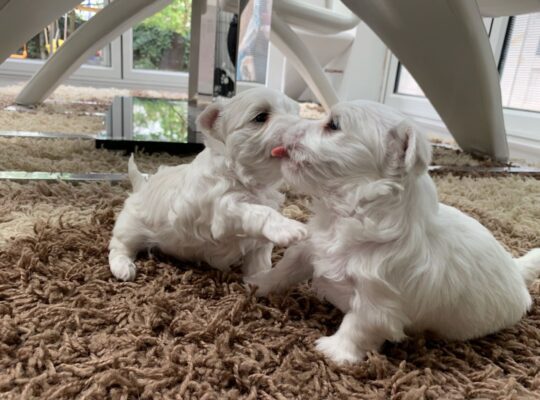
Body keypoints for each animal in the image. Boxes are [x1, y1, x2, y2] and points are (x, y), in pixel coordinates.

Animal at [108, 87, 308, 282]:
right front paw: (290, 227)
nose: (303, 130)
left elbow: (260, 260)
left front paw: (261, 282)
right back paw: (123, 268)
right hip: (131, 226)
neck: (244, 175)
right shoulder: (222, 209)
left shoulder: (258, 242)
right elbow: (259, 211)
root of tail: (140, 188)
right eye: (260, 117)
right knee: (119, 245)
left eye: (295, 113)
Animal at [246, 101, 540, 364]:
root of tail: (516, 269)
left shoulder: (378, 298)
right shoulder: (312, 247)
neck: (347, 213)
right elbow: (286, 268)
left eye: (333, 125)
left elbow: (359, 324)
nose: (284, 128)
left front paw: (334, 351)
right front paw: (258, 282)